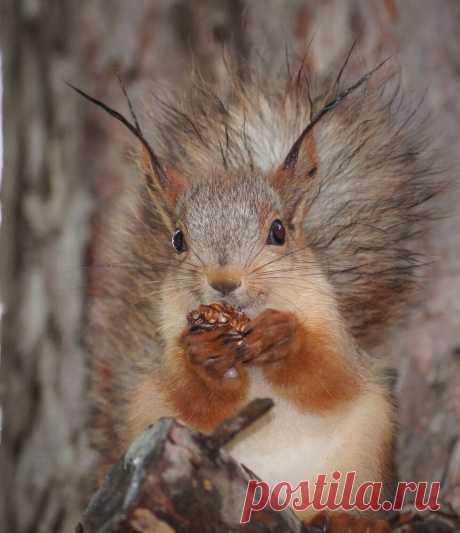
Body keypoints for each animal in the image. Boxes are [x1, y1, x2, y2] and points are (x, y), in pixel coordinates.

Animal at [76, 55, 442, 528]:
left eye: (278, 231)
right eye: (178, 239)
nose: (224, 281)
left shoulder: (333, 330)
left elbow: (325, 375)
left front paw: (282, 337)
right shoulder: (171, 346)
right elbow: (196, 399)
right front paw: (208, 356)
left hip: (367, 443)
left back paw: (347, 518)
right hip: (145, 413)